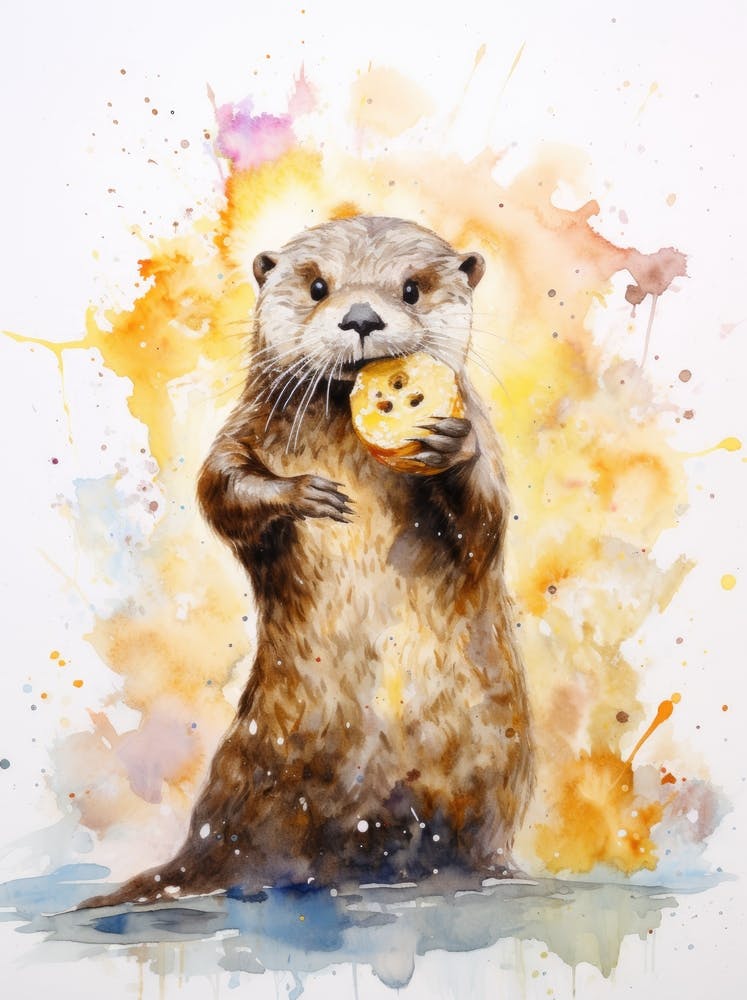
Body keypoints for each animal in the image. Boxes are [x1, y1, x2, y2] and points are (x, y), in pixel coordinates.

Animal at [83, 215, 534, 907]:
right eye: (318, 285)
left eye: (411, 289)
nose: (361, 317)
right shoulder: (243, 427)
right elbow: (219, 487)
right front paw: (305, 494)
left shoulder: (486, 443)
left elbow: (484, 517)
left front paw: (447, 446)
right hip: (264, 768)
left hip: (491, 769)